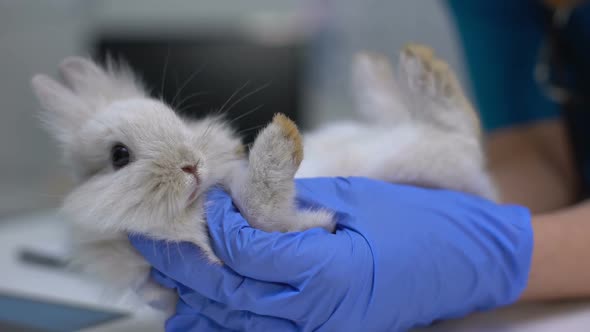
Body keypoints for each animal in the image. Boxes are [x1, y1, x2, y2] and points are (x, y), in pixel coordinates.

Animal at [31, 43, 494, 312]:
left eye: (172, 115)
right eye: (119, 156)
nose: (191, 165)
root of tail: (481, 187)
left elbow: (257, 197)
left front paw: (277, 139)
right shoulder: (275, 227)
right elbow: (262, 207)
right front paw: (280, 144)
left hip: (426, 152)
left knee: (452, 121)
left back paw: (407, 64)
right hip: (434, 158)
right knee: (447, 126)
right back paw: (388, 68)